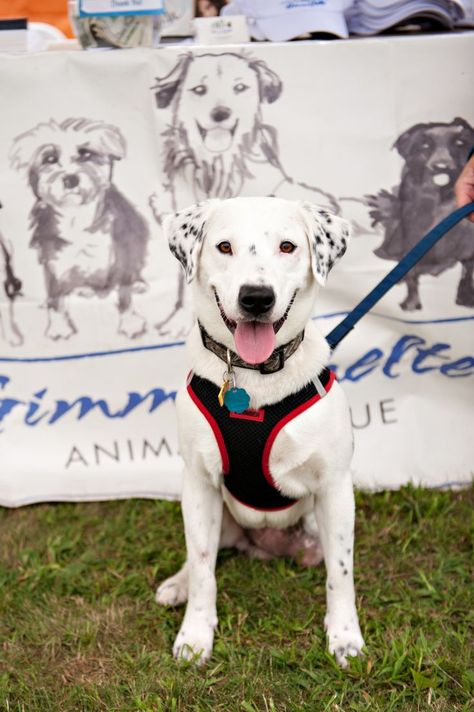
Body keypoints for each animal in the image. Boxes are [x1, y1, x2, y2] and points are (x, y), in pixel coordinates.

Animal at [157, 196, 364, 668]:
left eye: (288, 246)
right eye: (224, 246)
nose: (256, 298)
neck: (253, 377)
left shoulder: (335, 488)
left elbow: (341, 574)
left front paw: (344, 637)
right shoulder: (199, 483)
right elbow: (203, 569)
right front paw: (195, 635)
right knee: (202, 553)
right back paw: (177, 583)